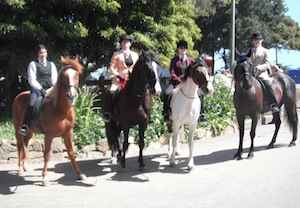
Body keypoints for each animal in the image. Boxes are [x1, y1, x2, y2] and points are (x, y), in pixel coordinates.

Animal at [12, 56, 85, 184]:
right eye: (64, 77)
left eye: (76, 75)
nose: (71, 96)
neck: (61, 110)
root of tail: (18, 96)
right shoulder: (49, 136)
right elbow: (47, 155)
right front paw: (44, 178)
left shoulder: (68, 133)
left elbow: (71, 153)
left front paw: (80, 175)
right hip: (17, 130)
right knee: (20, 147)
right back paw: (20, 169)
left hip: (29, 132)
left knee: (25, 145)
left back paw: (25, 167)